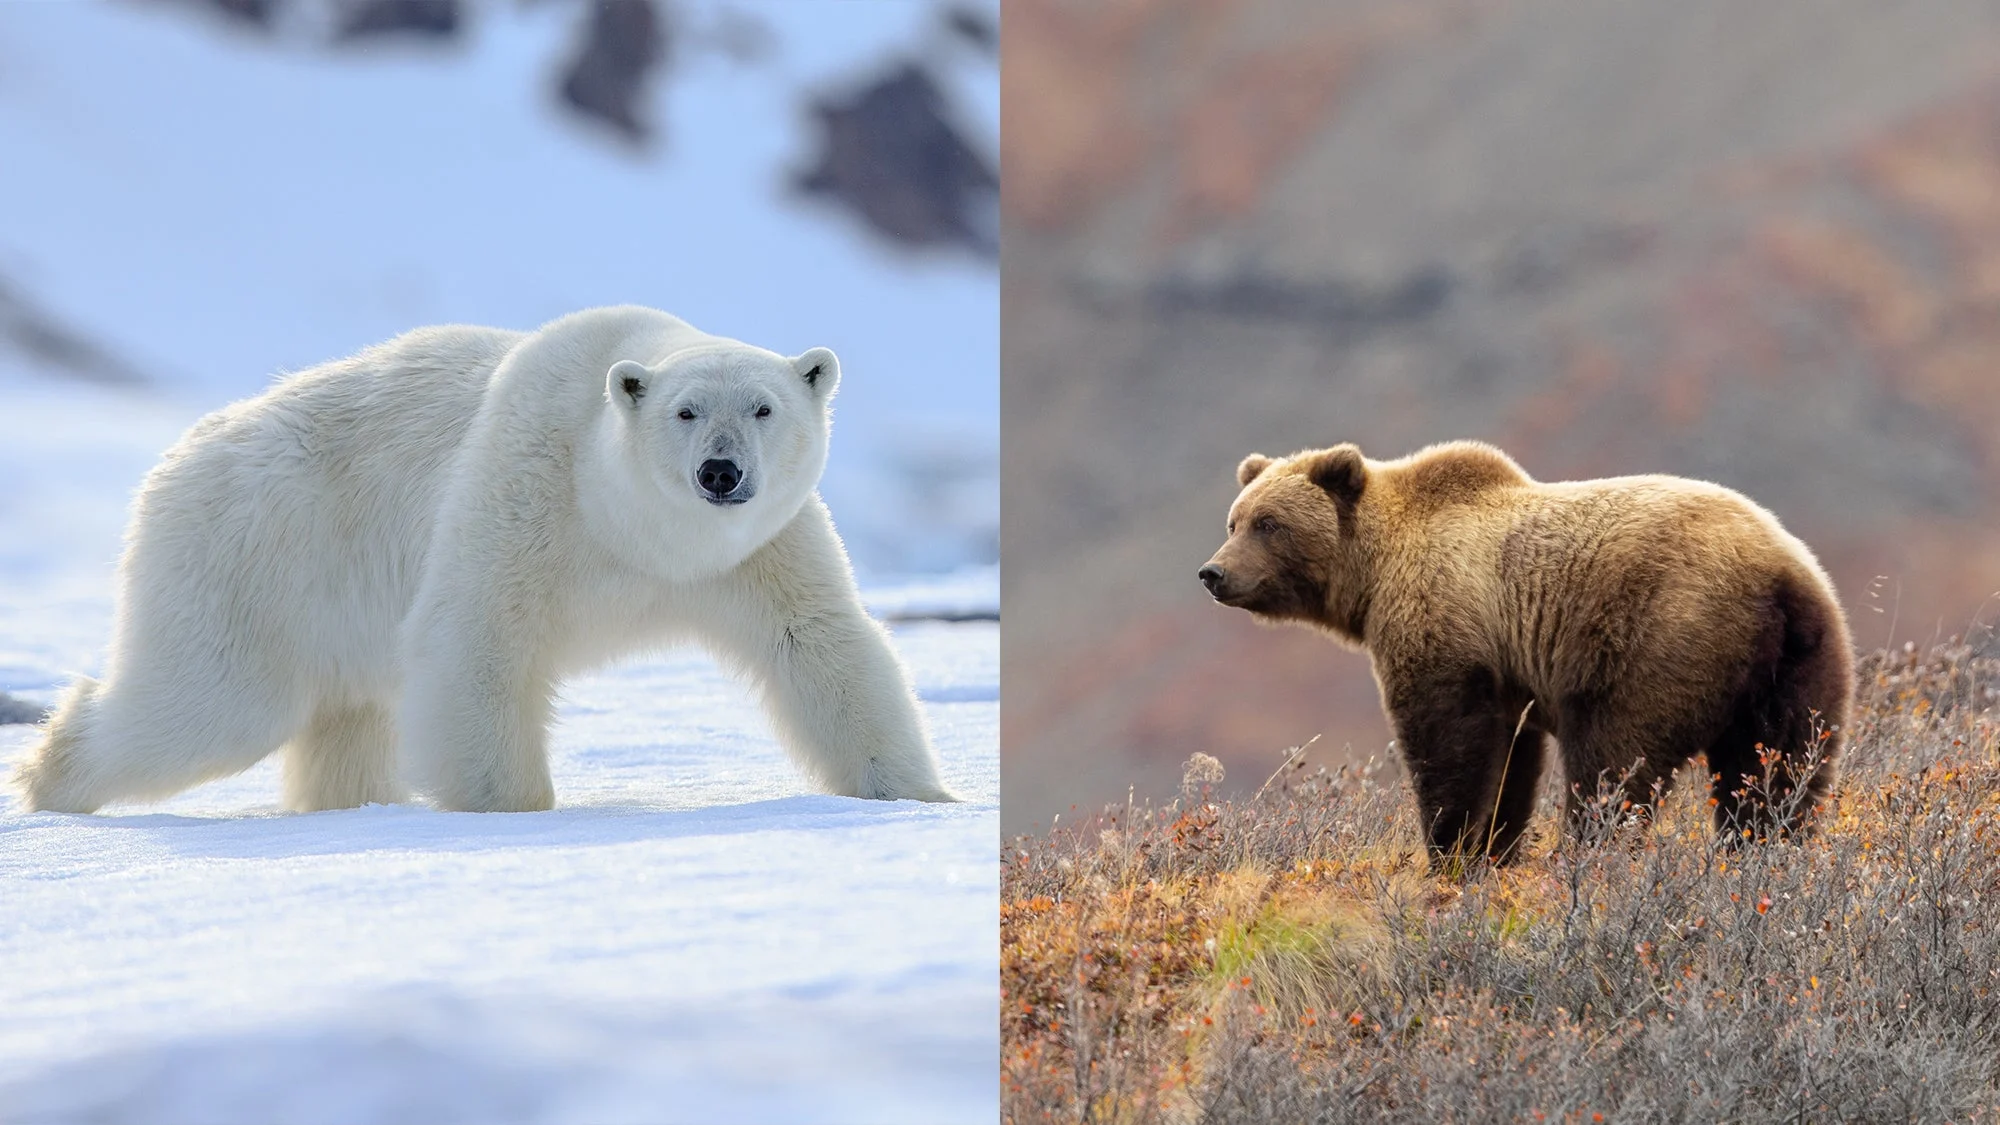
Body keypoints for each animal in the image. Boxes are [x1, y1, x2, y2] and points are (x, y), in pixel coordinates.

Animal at [13, 302, 952, 808]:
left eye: (763, 407)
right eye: (685, 411)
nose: (720, 472)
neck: (634, 530)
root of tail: (176, 458)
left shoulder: (757, 551)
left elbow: (819, 644)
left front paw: (919, 794)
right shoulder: (526, 489)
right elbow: (477, 640)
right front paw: (514, 807)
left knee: (344, 721)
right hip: (255, 555)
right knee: (208, 702)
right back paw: (51, 777)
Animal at [1192, 438, 1848, 856]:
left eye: (1269, 524)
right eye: (1234, 520)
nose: (1213, 573)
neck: (1373, 575)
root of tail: (1777, 576)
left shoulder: (1447, 626)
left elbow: (1450, 745)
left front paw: (1452, 849)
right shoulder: (1510, 675)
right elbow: (1511, 762)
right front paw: (1493, 848)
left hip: (1660, 636)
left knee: (1613, 765)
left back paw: (1589, 855)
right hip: (1799, 664)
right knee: (1781, 771)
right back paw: (1763, 851)